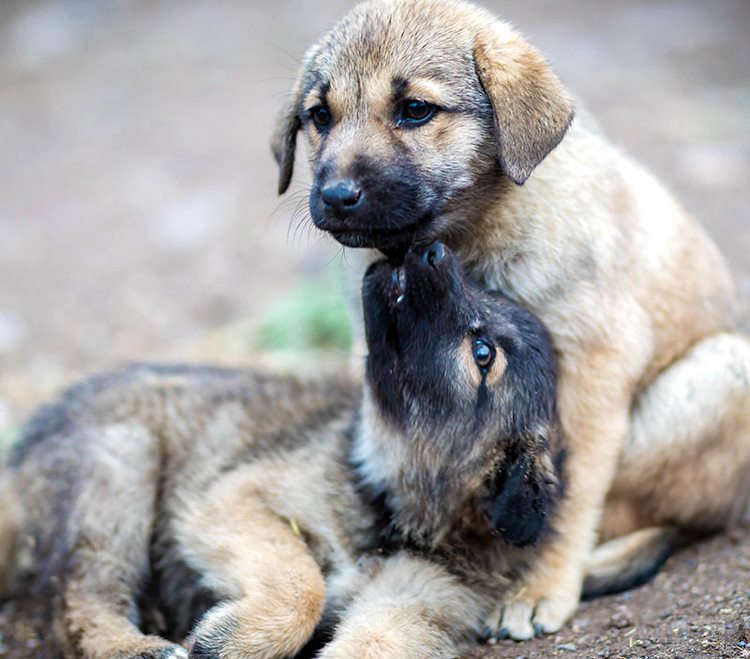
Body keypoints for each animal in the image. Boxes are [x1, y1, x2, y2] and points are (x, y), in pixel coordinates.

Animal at [274, 0, 750, 640]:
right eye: (319, 116)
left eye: (415, 110)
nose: (336, 196)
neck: (475, 230)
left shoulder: (596, 367)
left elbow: (567, 498)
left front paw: (540, 588)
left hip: (721, 372)